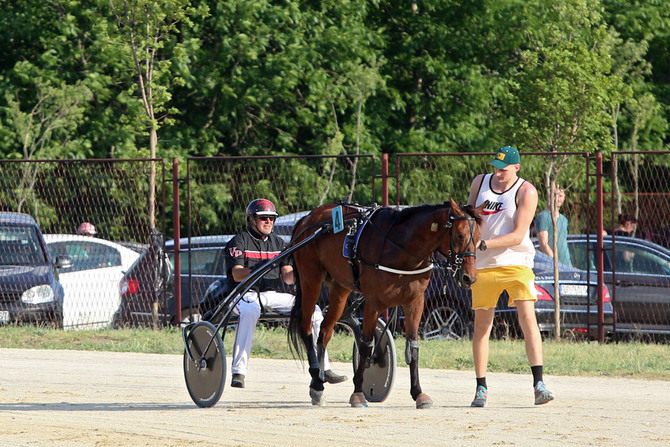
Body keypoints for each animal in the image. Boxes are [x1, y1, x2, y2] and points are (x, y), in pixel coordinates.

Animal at [288, 200, 484, 410]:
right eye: (459, 235)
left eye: (479, 239)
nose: (469, 277)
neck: (400, 247)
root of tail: (307, 218)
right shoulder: (373, 303)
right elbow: (366, 345)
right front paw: (358, 393)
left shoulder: (415, 302)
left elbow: (413, 348)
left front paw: (419, 394)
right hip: (311, 279)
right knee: (306, 328)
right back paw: (317, 383)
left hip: (340, 287)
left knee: (325, 331)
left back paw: (319, 381)